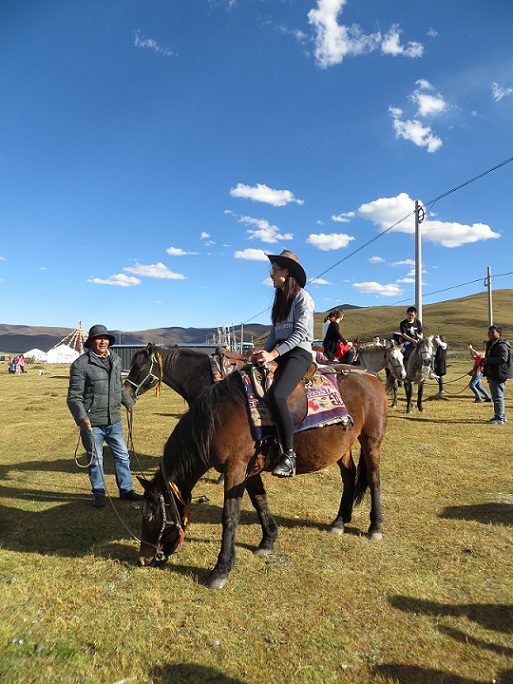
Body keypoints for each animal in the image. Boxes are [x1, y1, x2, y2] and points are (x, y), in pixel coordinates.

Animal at [138, 368, 386, 588]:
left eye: (150, 516)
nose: (143, 558)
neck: (218, 419)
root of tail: (370, 376)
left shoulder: (235, 469)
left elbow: (230, 517)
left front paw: (220, 570)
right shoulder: (249, 471)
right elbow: (260, 501)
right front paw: (268, 540)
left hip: (371, 441)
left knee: (373, 479)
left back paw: (375, 527)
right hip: (343, 447)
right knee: (349, 477)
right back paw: (340, 521)